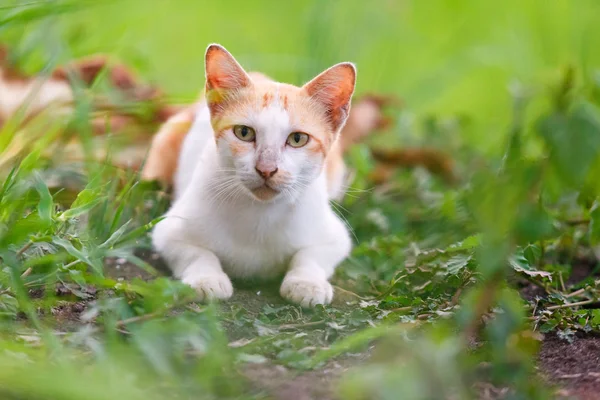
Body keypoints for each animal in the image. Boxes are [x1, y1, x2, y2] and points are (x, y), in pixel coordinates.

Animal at [151, 43, 356, 306]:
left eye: (298, 139)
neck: (260, 214)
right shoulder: (167, 231)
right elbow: (195, 252)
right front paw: (207, 278)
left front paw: (306, 282)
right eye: (244, 133)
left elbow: (311, 255)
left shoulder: (335, 236)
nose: (266, 169)